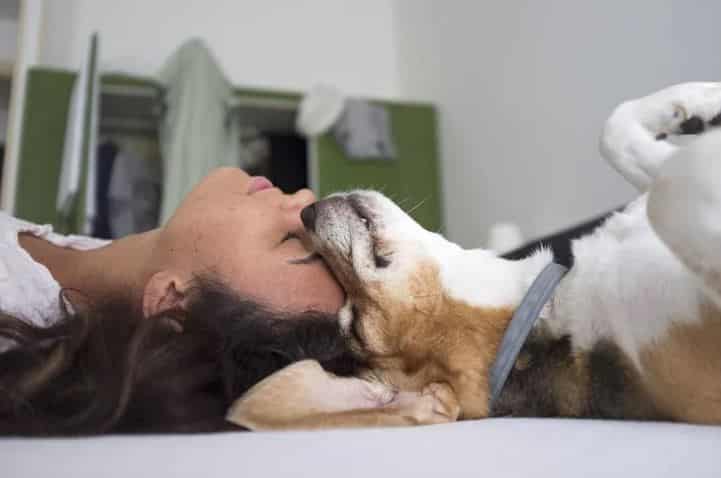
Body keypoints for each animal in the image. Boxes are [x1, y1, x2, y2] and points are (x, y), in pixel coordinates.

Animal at [228, 82, 720, 430]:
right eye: (355, 324)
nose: (306, 213)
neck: (544, 307)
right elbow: (670, 190)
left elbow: (615, 131)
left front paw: (700, 100)